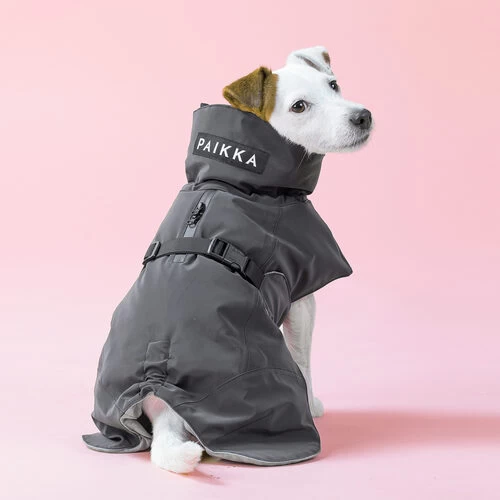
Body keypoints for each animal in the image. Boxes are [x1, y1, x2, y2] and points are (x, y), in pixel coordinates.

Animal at [140, 45, 372, 473]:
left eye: (334, 85)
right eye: (299, 107)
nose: (361, 116)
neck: (244, 181)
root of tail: (159, 396)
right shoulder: (301, 296)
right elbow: (304, 361)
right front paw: (311, 405)